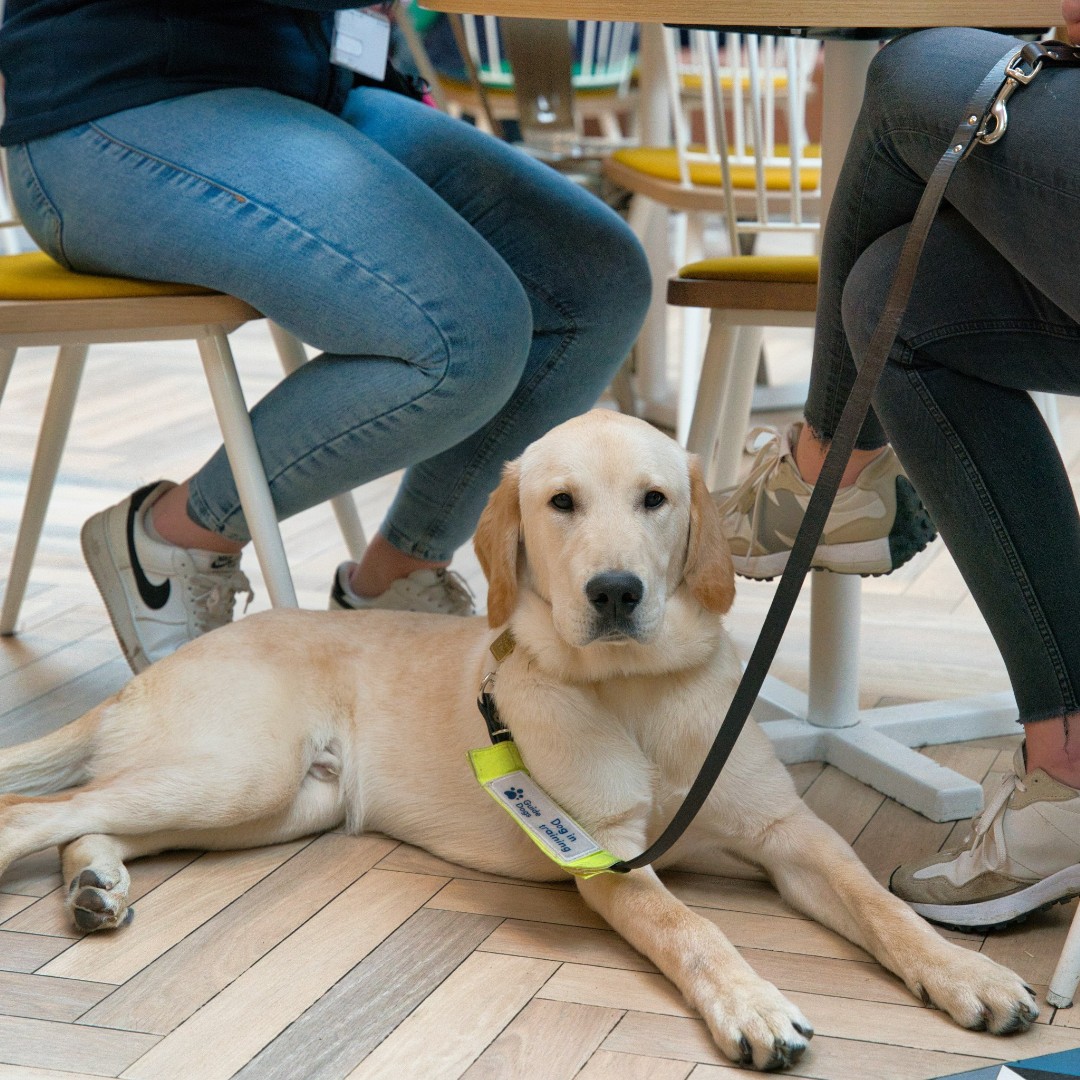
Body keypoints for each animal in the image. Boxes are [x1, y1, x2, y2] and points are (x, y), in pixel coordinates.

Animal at [0, 410, 1036, 1071]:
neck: (633, 692)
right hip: (237, 775)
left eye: (656, 499)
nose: (615, 591)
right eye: (561, 502)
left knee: (84, 820)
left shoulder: (792, 833)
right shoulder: (605, 856)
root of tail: (164, 663)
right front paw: (751, 1002)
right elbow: (693, 928)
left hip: (274, 804)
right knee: (36, 808)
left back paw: (95, 887)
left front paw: (970, 974)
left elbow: (881, 907)